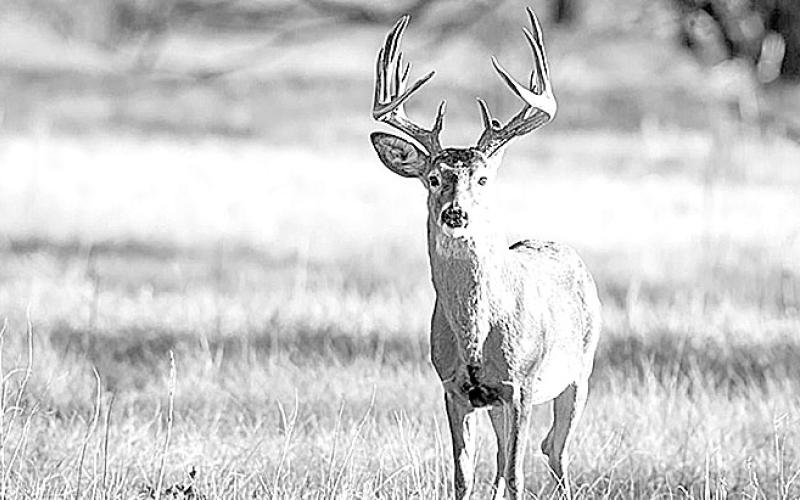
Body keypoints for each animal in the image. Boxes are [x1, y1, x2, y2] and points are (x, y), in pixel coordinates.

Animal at [369, 8, 601, 500]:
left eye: (483, 178)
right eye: (434, 178)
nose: (456, 214)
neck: (478, 333)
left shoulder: (521, 385)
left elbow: (515, 477)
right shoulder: (455, 389)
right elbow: (464, 476)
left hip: (580, 371)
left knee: (555, 450)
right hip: (499, 403)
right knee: (507, 459)